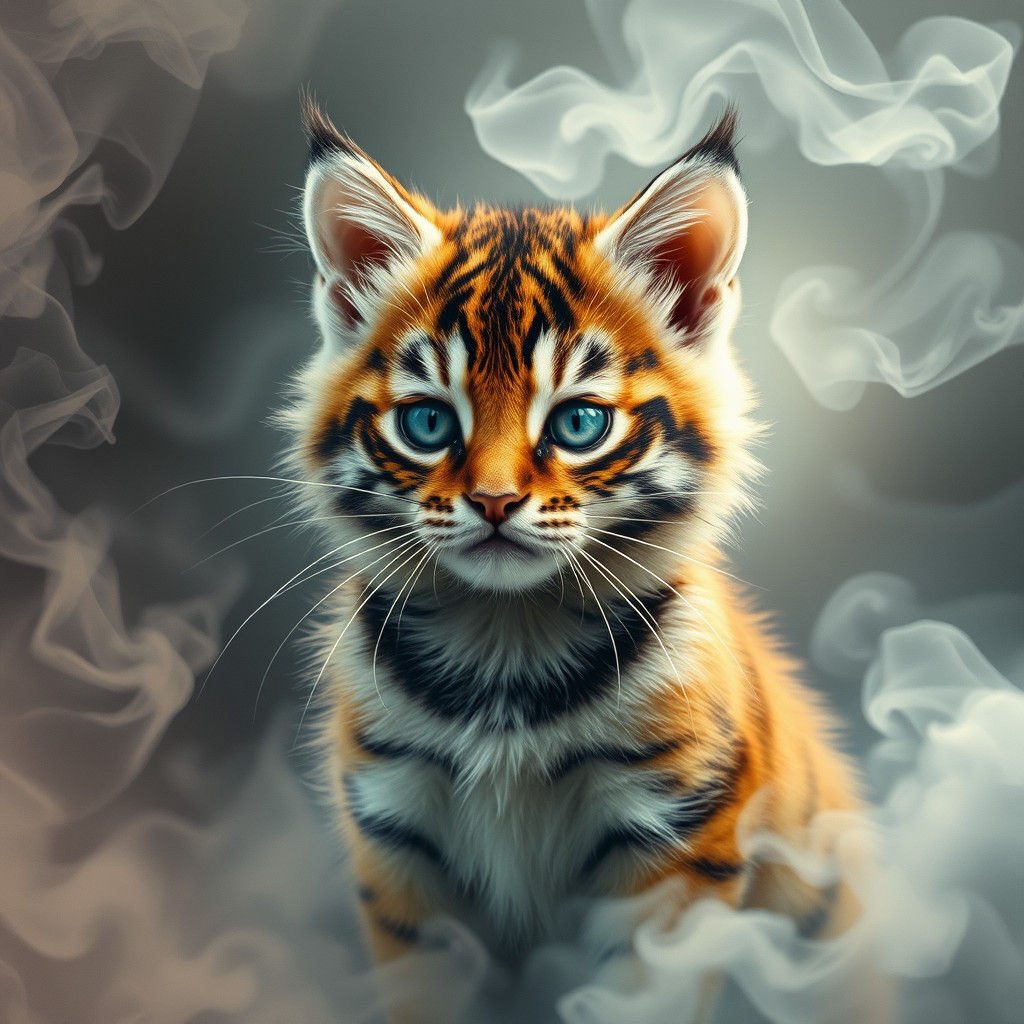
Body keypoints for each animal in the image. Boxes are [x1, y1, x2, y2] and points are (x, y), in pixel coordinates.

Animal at [281, 95, 873, 1021]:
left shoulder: (676, 842)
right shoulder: (398, 843)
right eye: (428, 424)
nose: (492, 502)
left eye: (578, 423)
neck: (504, 643)